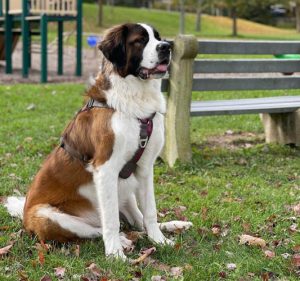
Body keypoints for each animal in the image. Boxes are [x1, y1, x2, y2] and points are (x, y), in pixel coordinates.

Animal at [5, 23, 192, 260]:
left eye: (158, 38)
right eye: (140, 40)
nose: (166, 47)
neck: (134, 101)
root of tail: (23, 215)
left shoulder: (144, 168)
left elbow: (150, 211)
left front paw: (160, 240)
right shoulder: (106, 169)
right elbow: (111, 221)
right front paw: (115, 254)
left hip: (127, 191)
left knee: (137, 221)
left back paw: (173, 225)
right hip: (49, 217)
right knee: (97, 228)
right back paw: (123, 240)